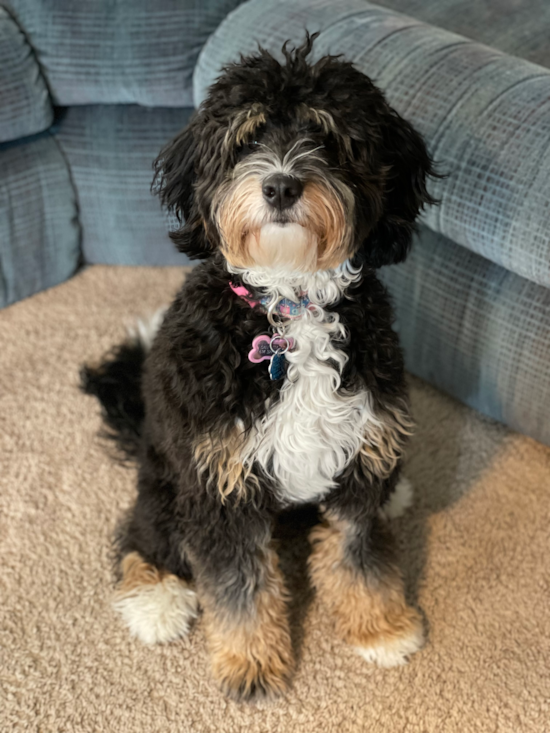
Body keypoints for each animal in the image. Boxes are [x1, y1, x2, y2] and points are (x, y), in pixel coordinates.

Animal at [82, 34, 438, 696]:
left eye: (326, 136)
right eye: (246, 139)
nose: (279, 186)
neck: (292, 304)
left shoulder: (358, 454)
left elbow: (358, 553)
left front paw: (380, 627)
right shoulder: (220, 482)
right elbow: (240, 583)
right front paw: (251, 665)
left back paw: (397, 492)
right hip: (168, 474)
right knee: (145, 532)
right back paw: (155, 601)